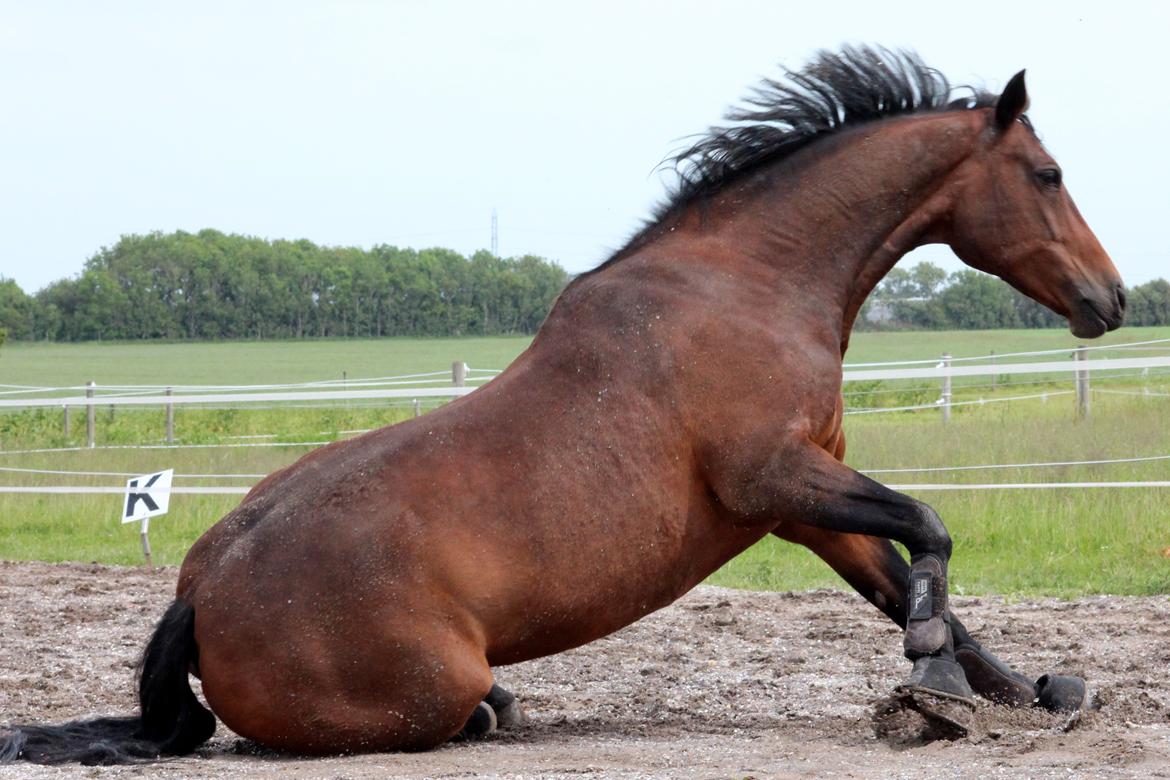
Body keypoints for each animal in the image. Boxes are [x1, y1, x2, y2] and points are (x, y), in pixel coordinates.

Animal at [4, 45, 1127, 767]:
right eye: (1047, 173)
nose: (1110, 300)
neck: (748, 287)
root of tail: (200, 591)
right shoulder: (777, 479)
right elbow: (930, 534)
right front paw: (937, 687)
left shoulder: (802, 507)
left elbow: (909, 579)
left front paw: (1024, 693)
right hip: (424, 688)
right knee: (439, 718)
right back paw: (494, 711)